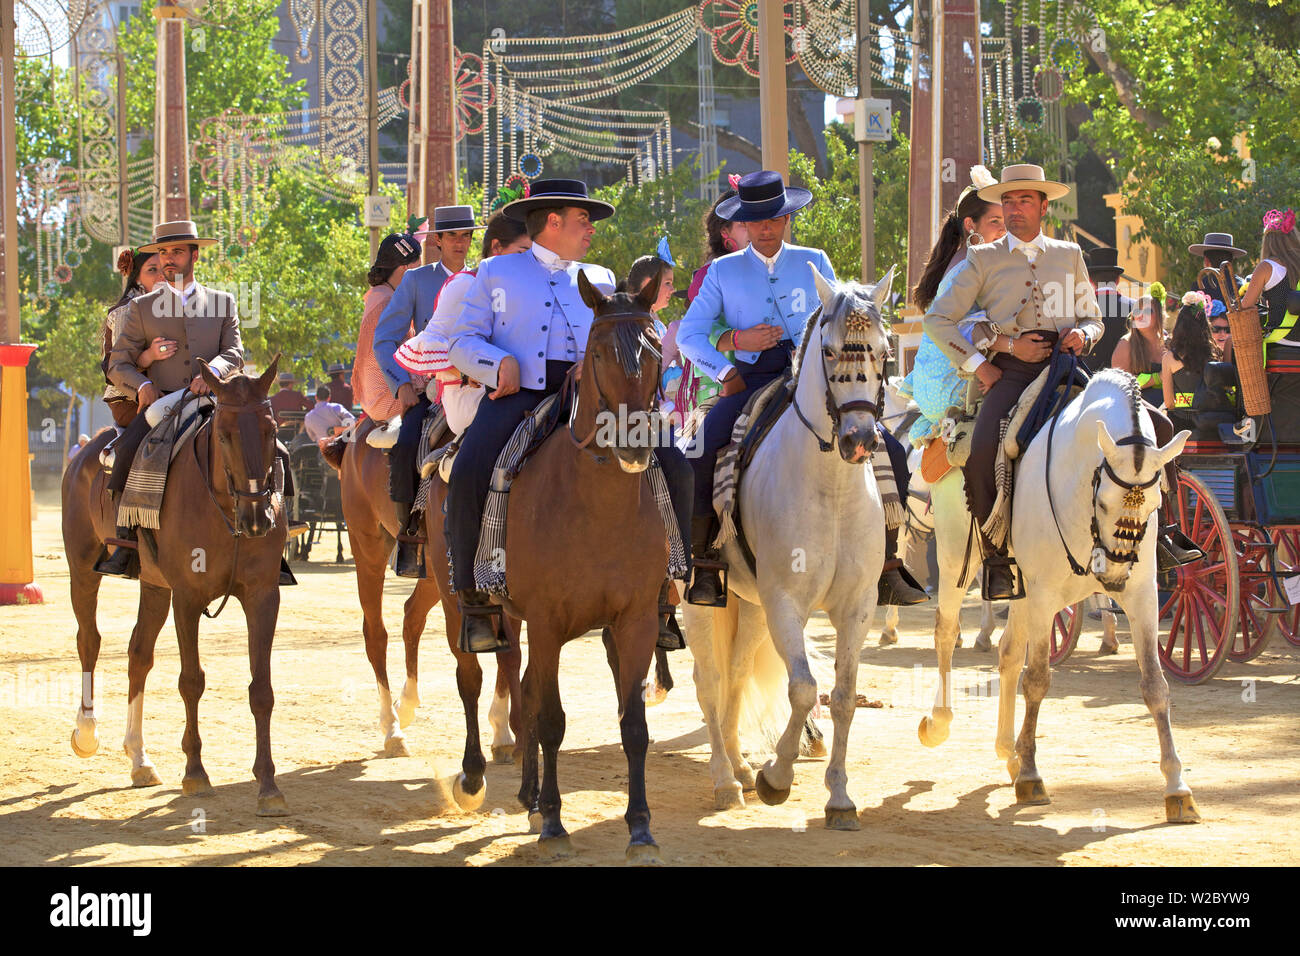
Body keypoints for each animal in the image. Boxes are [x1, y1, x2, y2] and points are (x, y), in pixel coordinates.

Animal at [63, 356, 287, 816]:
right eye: (224, 434)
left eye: (272, 430)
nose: (259, 518)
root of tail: (87, 451)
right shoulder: (187, 597)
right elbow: (191, 681)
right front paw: (196, 773)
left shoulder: (263, 596)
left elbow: (261, 689)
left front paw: (268, 784)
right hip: (83, 571)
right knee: (89, 641)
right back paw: (87, 731)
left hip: (154, 586)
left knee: (138, 655)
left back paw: (139, 758)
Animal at [330, 408, 522, 806]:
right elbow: (479, 664)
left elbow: (510, 656)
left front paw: (504, 735)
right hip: (369, 545)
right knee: (376, 634)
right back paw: (392, 730)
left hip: (432, 573)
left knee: (411, 615)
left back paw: (406, 705)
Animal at [441, 273, 676, 863]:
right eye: (598, 351)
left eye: (656, 350)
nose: (634, 442)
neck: (597, 505)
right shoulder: (548, 622)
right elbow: (550, 720)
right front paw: (554, 820)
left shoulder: (635, 621)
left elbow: (633, 725)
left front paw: (640, 827)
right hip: (457, 600)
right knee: (473, 679)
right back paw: (475, 777)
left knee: (522, 685)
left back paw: (526, 793)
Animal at [681, 264, 894, 832]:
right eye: (831, 350)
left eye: (884, 351)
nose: (860, 439)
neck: (832, 488)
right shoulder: (786, 603)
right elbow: (801, 688)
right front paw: (775, 778)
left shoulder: (857, 606)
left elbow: (842, 696)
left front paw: (839, 797)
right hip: (700, 601)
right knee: (709, 679)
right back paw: (725, 780)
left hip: (750, 606)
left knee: (734, 675)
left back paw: (737, 763)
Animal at [935, 369, 1196, 816]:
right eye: (1104, 503)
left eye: (1154, 503)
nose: (1114, 574)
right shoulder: (1043, 597)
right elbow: (1038, 678)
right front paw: (1031, 776)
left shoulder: (1143, 596)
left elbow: (1155, 685)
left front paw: (1177, 786)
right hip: (956, 563)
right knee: (946, 634)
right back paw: (939, 722)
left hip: (1020, 595)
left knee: (1007, 655)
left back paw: (1008, 751)